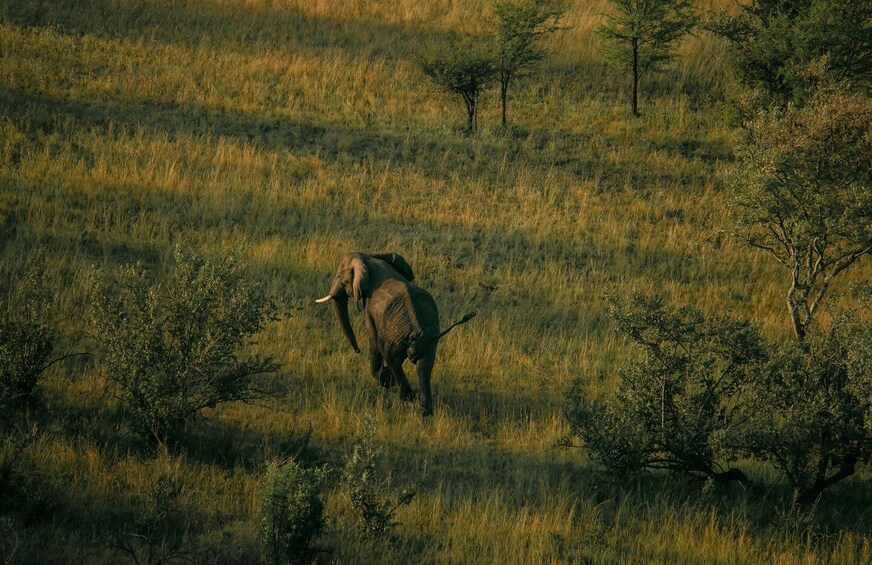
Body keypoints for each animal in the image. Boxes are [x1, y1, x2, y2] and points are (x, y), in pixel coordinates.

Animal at [316, 251, 476, 414]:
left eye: (340, 276)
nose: (357, 351)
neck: (370, 258)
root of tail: (418, 334)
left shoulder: (369, 305)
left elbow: (372, 335)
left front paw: (381, 377)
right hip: (430, 339)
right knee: (424, 367)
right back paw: (425, 411)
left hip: (396, 338)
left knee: (391, 357)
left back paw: (401, 393)